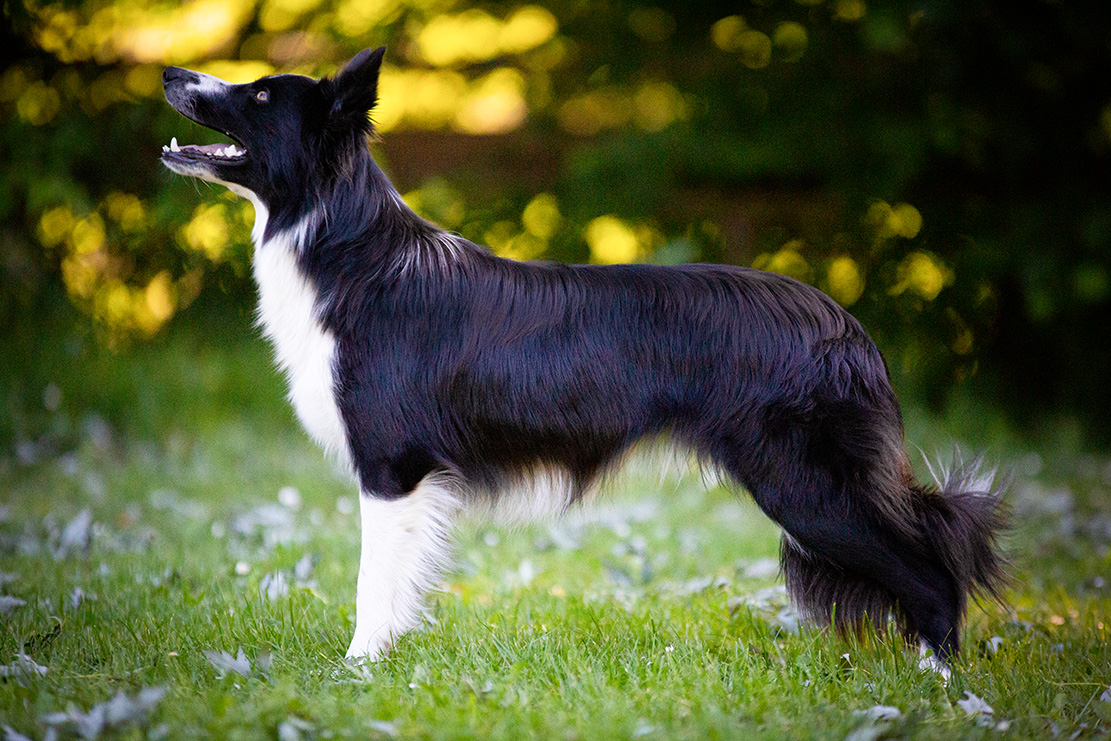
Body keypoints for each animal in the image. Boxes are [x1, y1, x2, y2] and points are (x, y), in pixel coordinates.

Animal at [162, 47, 1008, 666]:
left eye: (261, 97)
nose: (169, 74)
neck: (341, 245)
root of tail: (846, 325)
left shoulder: (392, 464)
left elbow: (375, 583)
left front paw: (357, 670)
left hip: (805, 483)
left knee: (932, 572)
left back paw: (939, 685)